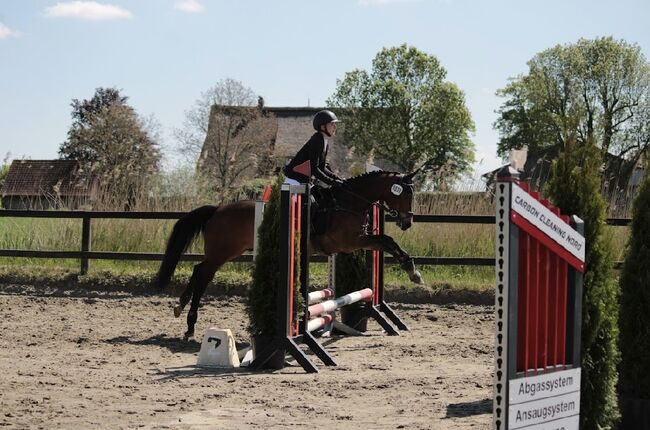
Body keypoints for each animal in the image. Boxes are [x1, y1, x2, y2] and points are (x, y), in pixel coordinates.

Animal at [156, 170, 423, 340]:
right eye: (405, 194)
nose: (407, 222)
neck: (350, 201)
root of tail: (217, 209)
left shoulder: (358, 242)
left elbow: (387, 242)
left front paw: (412, 270)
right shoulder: (351, 242)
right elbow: (386, 241)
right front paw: (413, 272)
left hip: (227, 252)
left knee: (198, 270)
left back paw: (180, 307)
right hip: (223, 252)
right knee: (203, 274)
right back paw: (189, 324)